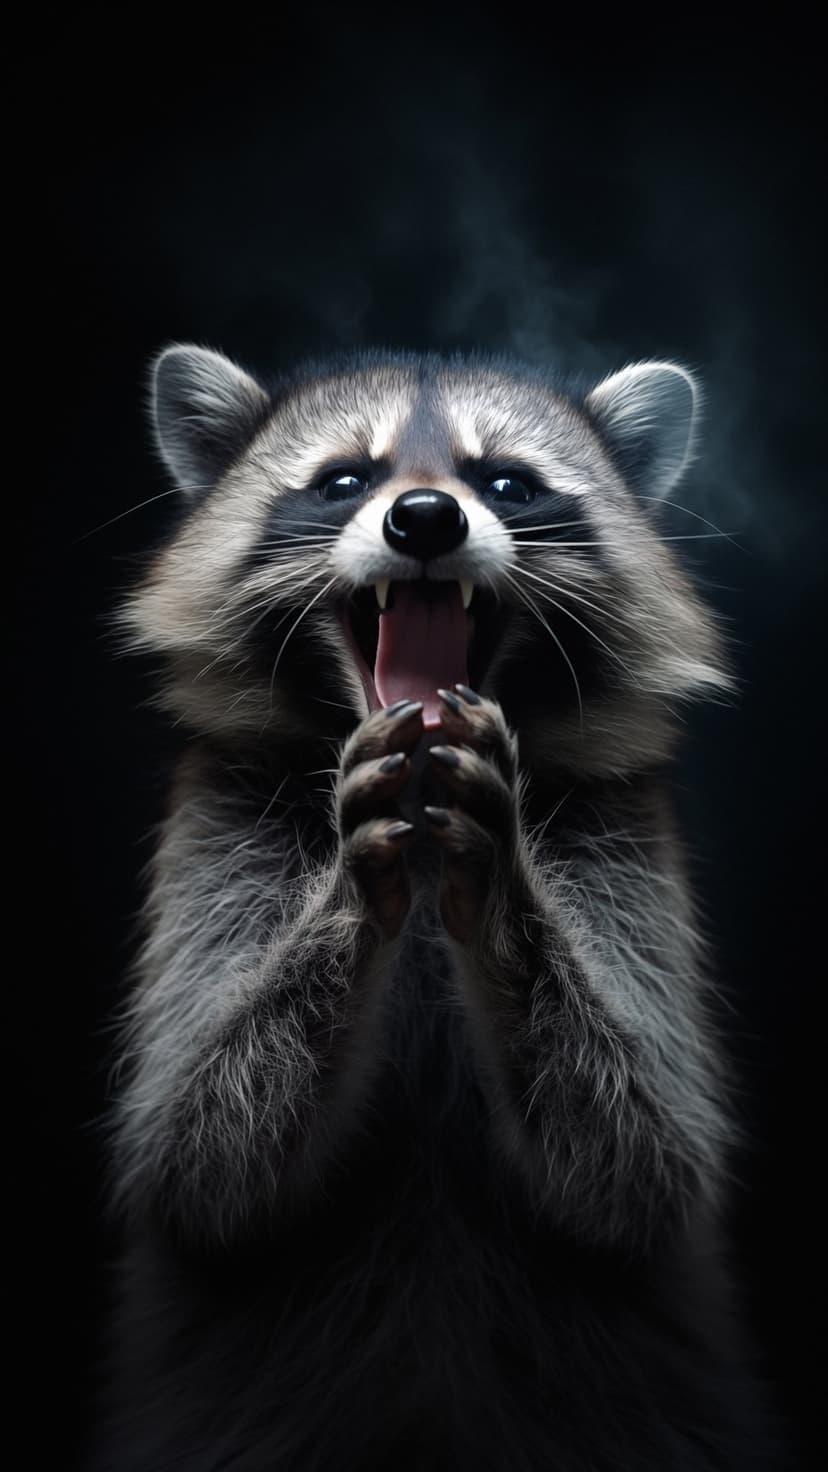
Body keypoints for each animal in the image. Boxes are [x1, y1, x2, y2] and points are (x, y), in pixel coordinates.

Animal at [96, 347, 769, 1470]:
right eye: (342, 481)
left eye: (506, 482)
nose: (423, 517)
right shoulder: (221, 822)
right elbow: (201, 1149)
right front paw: (344, 898)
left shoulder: (622, 839)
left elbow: (641, 1159)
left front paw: (505, 895)